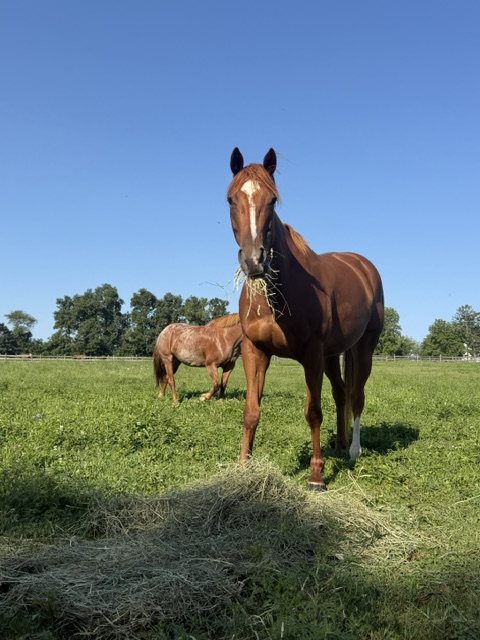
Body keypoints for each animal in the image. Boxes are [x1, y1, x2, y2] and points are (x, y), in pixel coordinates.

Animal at [227, 147, 384, 490]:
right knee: (341, 393)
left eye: (273, 200)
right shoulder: (255, 350)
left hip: (362, 349)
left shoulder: (311, 354)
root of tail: (364, 267)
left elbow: (313, 412)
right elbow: (251, 410)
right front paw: (243, 466)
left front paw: (316, 476)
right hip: (332, 355)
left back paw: (353, 450)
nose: (254, 261)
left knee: (357, 397)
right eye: (231, 199)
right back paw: (339, 443)